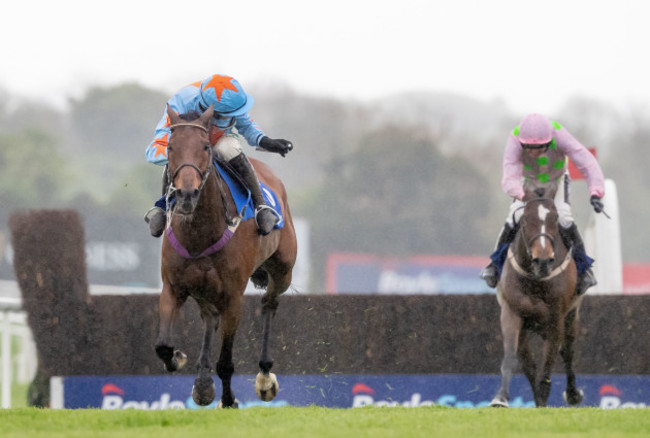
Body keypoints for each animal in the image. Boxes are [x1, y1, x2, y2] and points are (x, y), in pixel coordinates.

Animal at [156, 104, 298, 408]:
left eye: (205, 147)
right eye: (171, 147)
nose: (186, 194)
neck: (200, 233)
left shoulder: (233, 297)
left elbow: (226, 362)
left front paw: (229, 400)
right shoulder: (173, 287)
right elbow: (162, 346)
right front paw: (179, 359)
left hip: (283, 270)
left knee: (269, 304)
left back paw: (264, 376)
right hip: (202, 289)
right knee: (210, 317)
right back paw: (202, 381)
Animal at [492, 186, 584, 408]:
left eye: (555, 219)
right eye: (525, 219)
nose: (543, 261)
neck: (535, 278)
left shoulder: (555, 319)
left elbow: (549, 363)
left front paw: (544, 398)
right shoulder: (511, 313)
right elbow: (513, 358)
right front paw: (501, 397)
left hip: (571, 316)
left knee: (567, 351)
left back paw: (572, 394)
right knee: (528, 362)